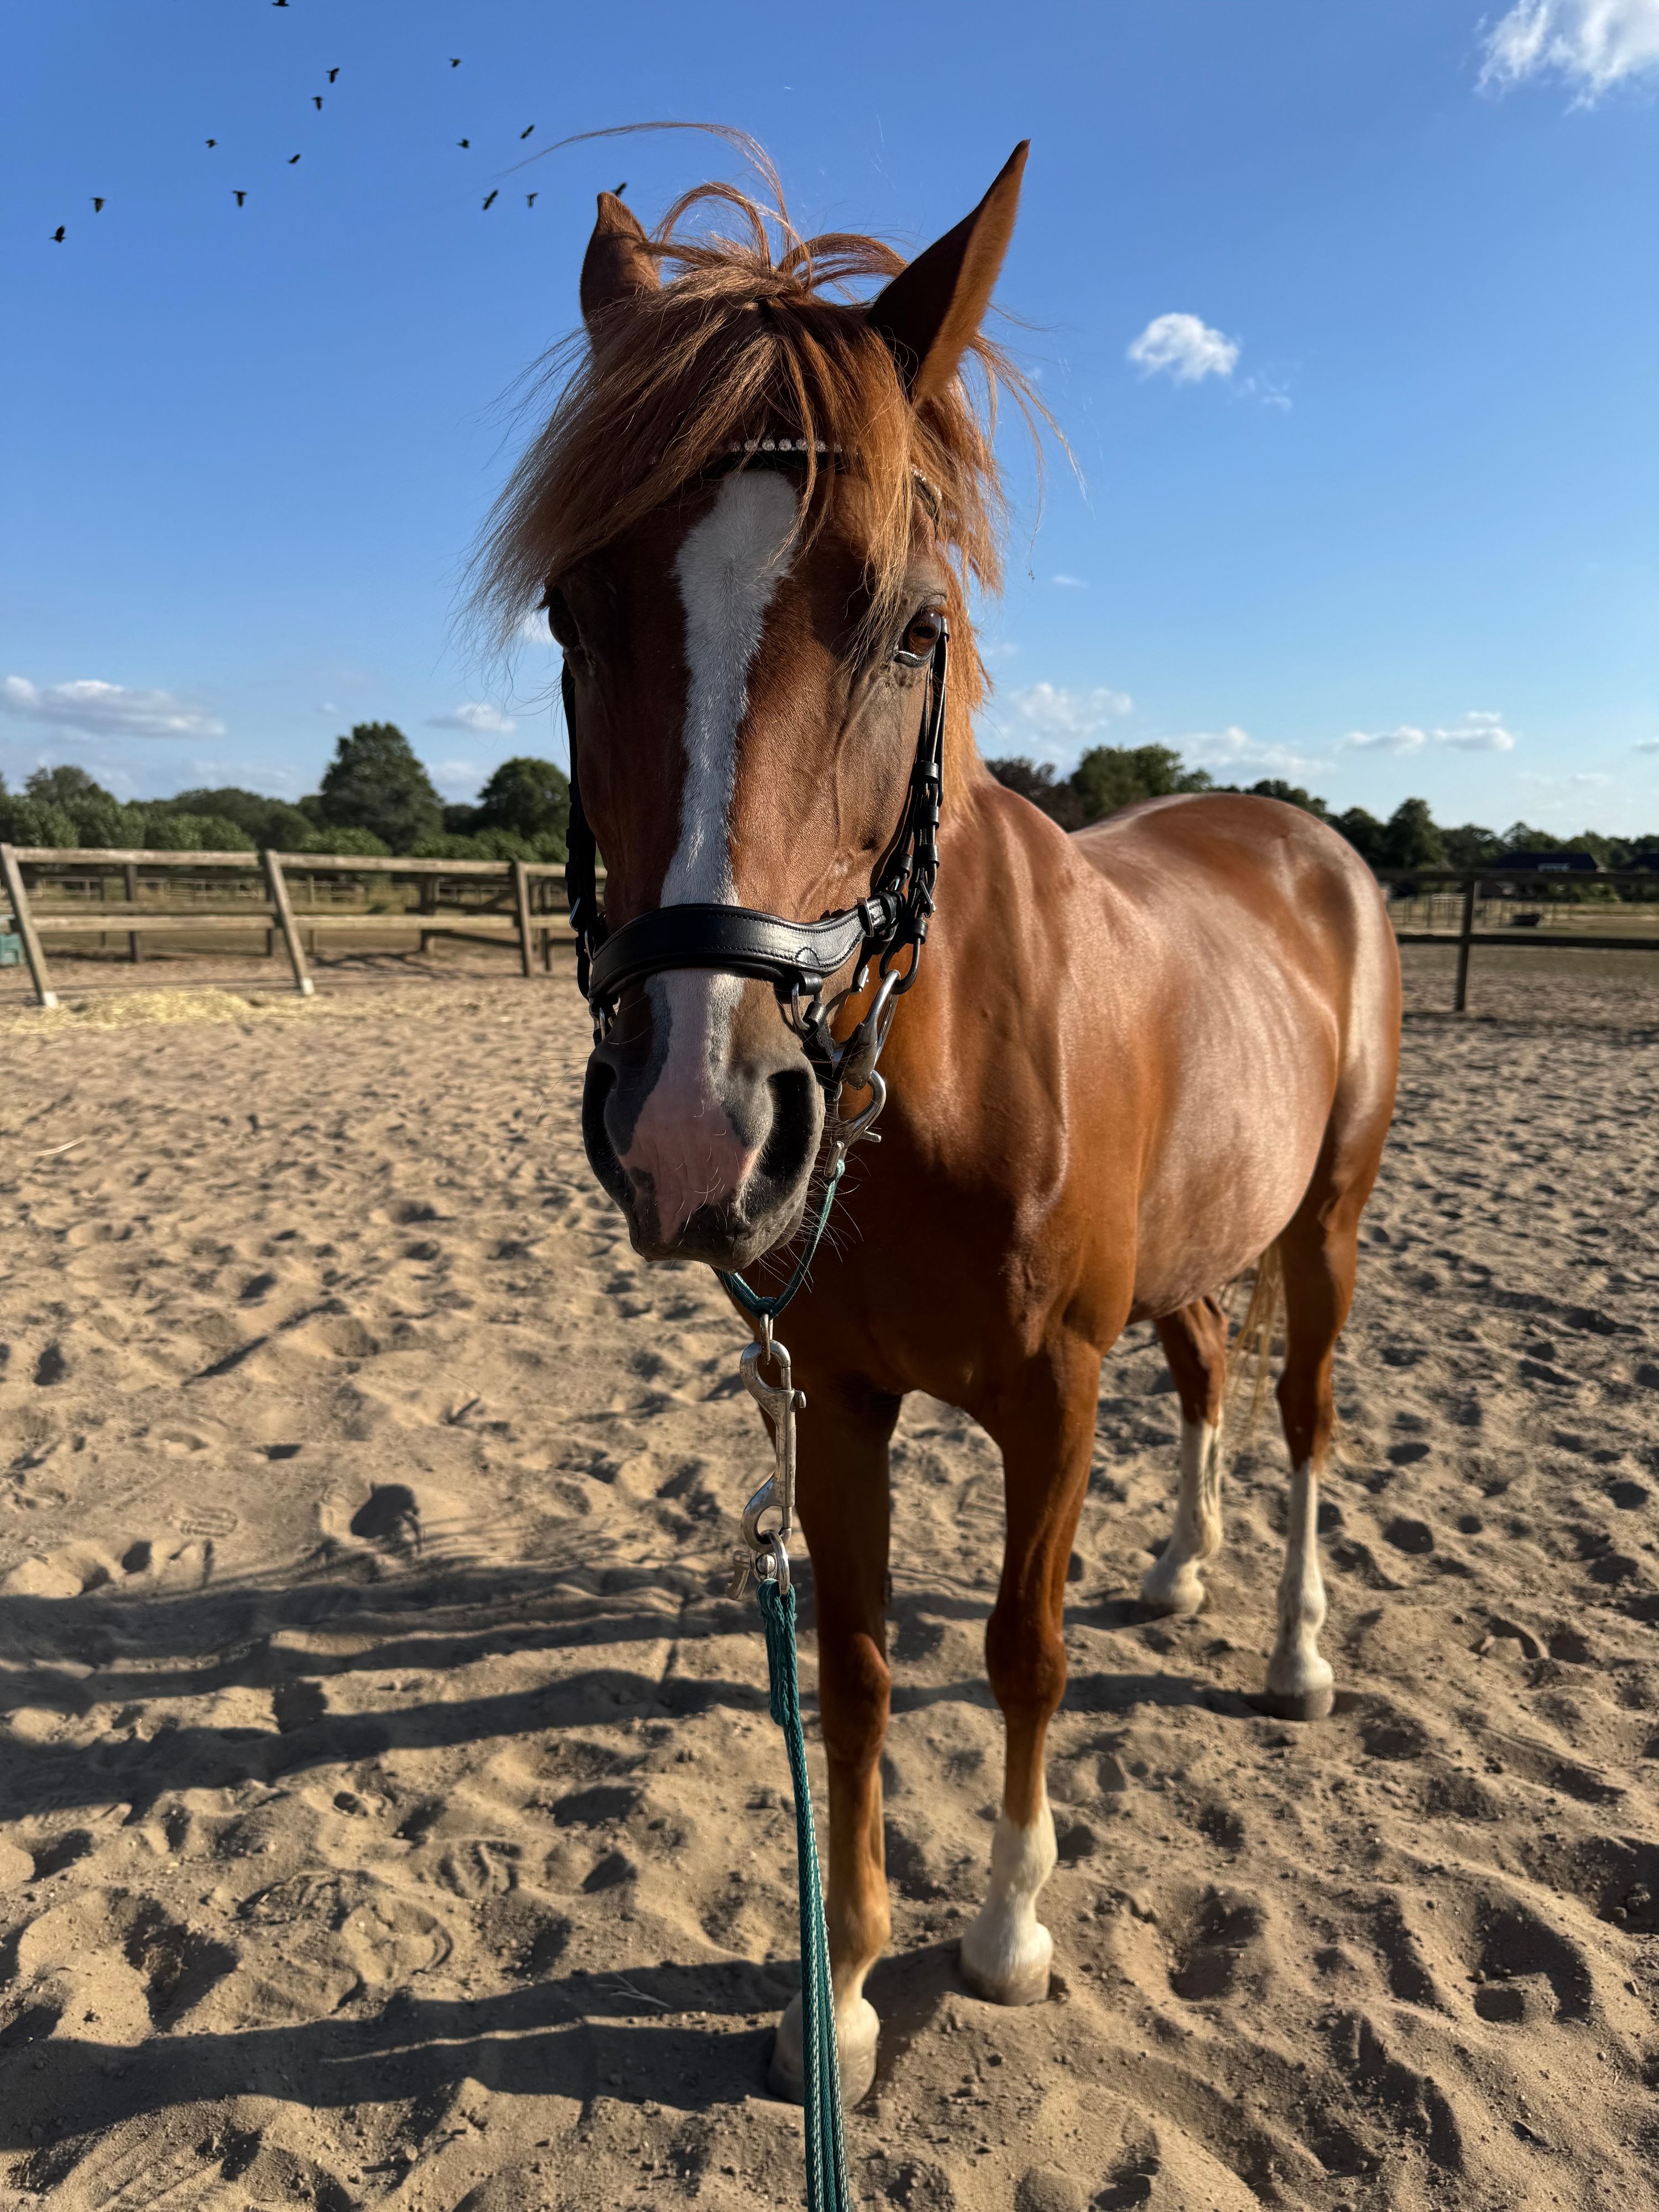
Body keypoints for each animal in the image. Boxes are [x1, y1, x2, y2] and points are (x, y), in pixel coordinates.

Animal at [476, 141, 1402, 2107]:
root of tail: (1307, 838)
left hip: (1327, 1223)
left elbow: (1021, 1648)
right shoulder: (835, 1393)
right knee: (1212, 1380)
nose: (698, 1131)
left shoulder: (1049, 1393)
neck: (942, 1080)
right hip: (1198, 1257)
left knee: (1299, 1413)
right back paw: (1186, 1570)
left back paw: (1291, 1651)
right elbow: (855, 1665)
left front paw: (1005, 1934)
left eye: (915, 625)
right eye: (578, 614)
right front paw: (830, 1990)